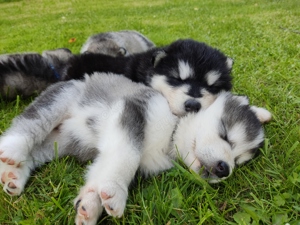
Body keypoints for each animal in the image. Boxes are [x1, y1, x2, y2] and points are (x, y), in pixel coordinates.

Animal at [0, 73, 272, 224]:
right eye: (226, 135)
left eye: (239, 160)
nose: (225, 169)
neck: (169, 136)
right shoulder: (133, 111)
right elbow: (125, 155)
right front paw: (116, 192)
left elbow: (101, 170)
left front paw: (90, 205)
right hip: (63, 97)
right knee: (29, 124)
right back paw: (12, 150)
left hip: (57, 144)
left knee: (35, 152)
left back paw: (14, 177)